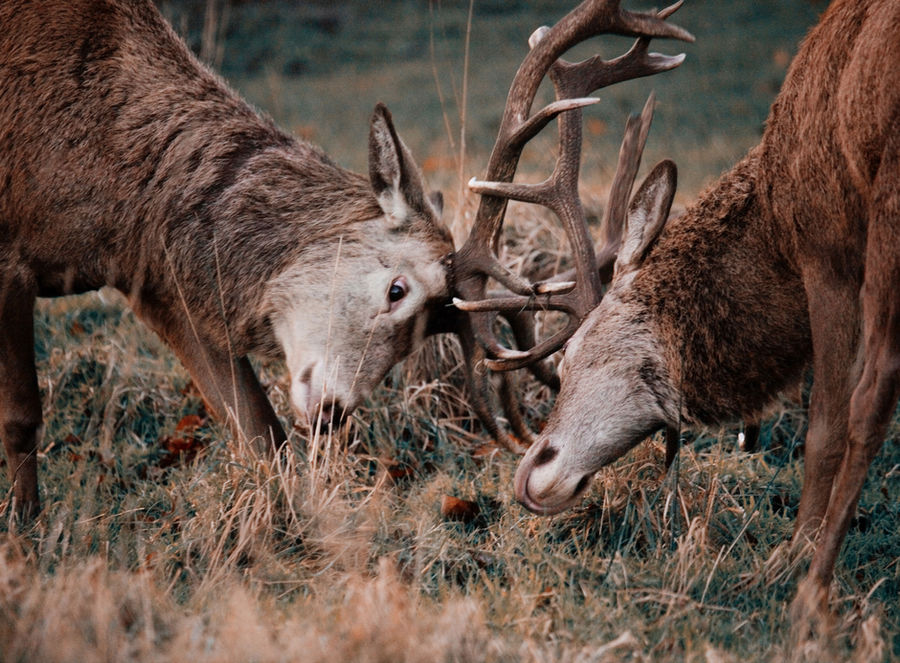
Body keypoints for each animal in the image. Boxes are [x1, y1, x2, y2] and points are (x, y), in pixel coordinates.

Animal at [454, 0, 898, 624]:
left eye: (572, 355)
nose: (530, 473)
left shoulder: (828, 249)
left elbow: (828, 425)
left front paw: (796, 558)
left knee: (870, 394)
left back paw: (810, 589)